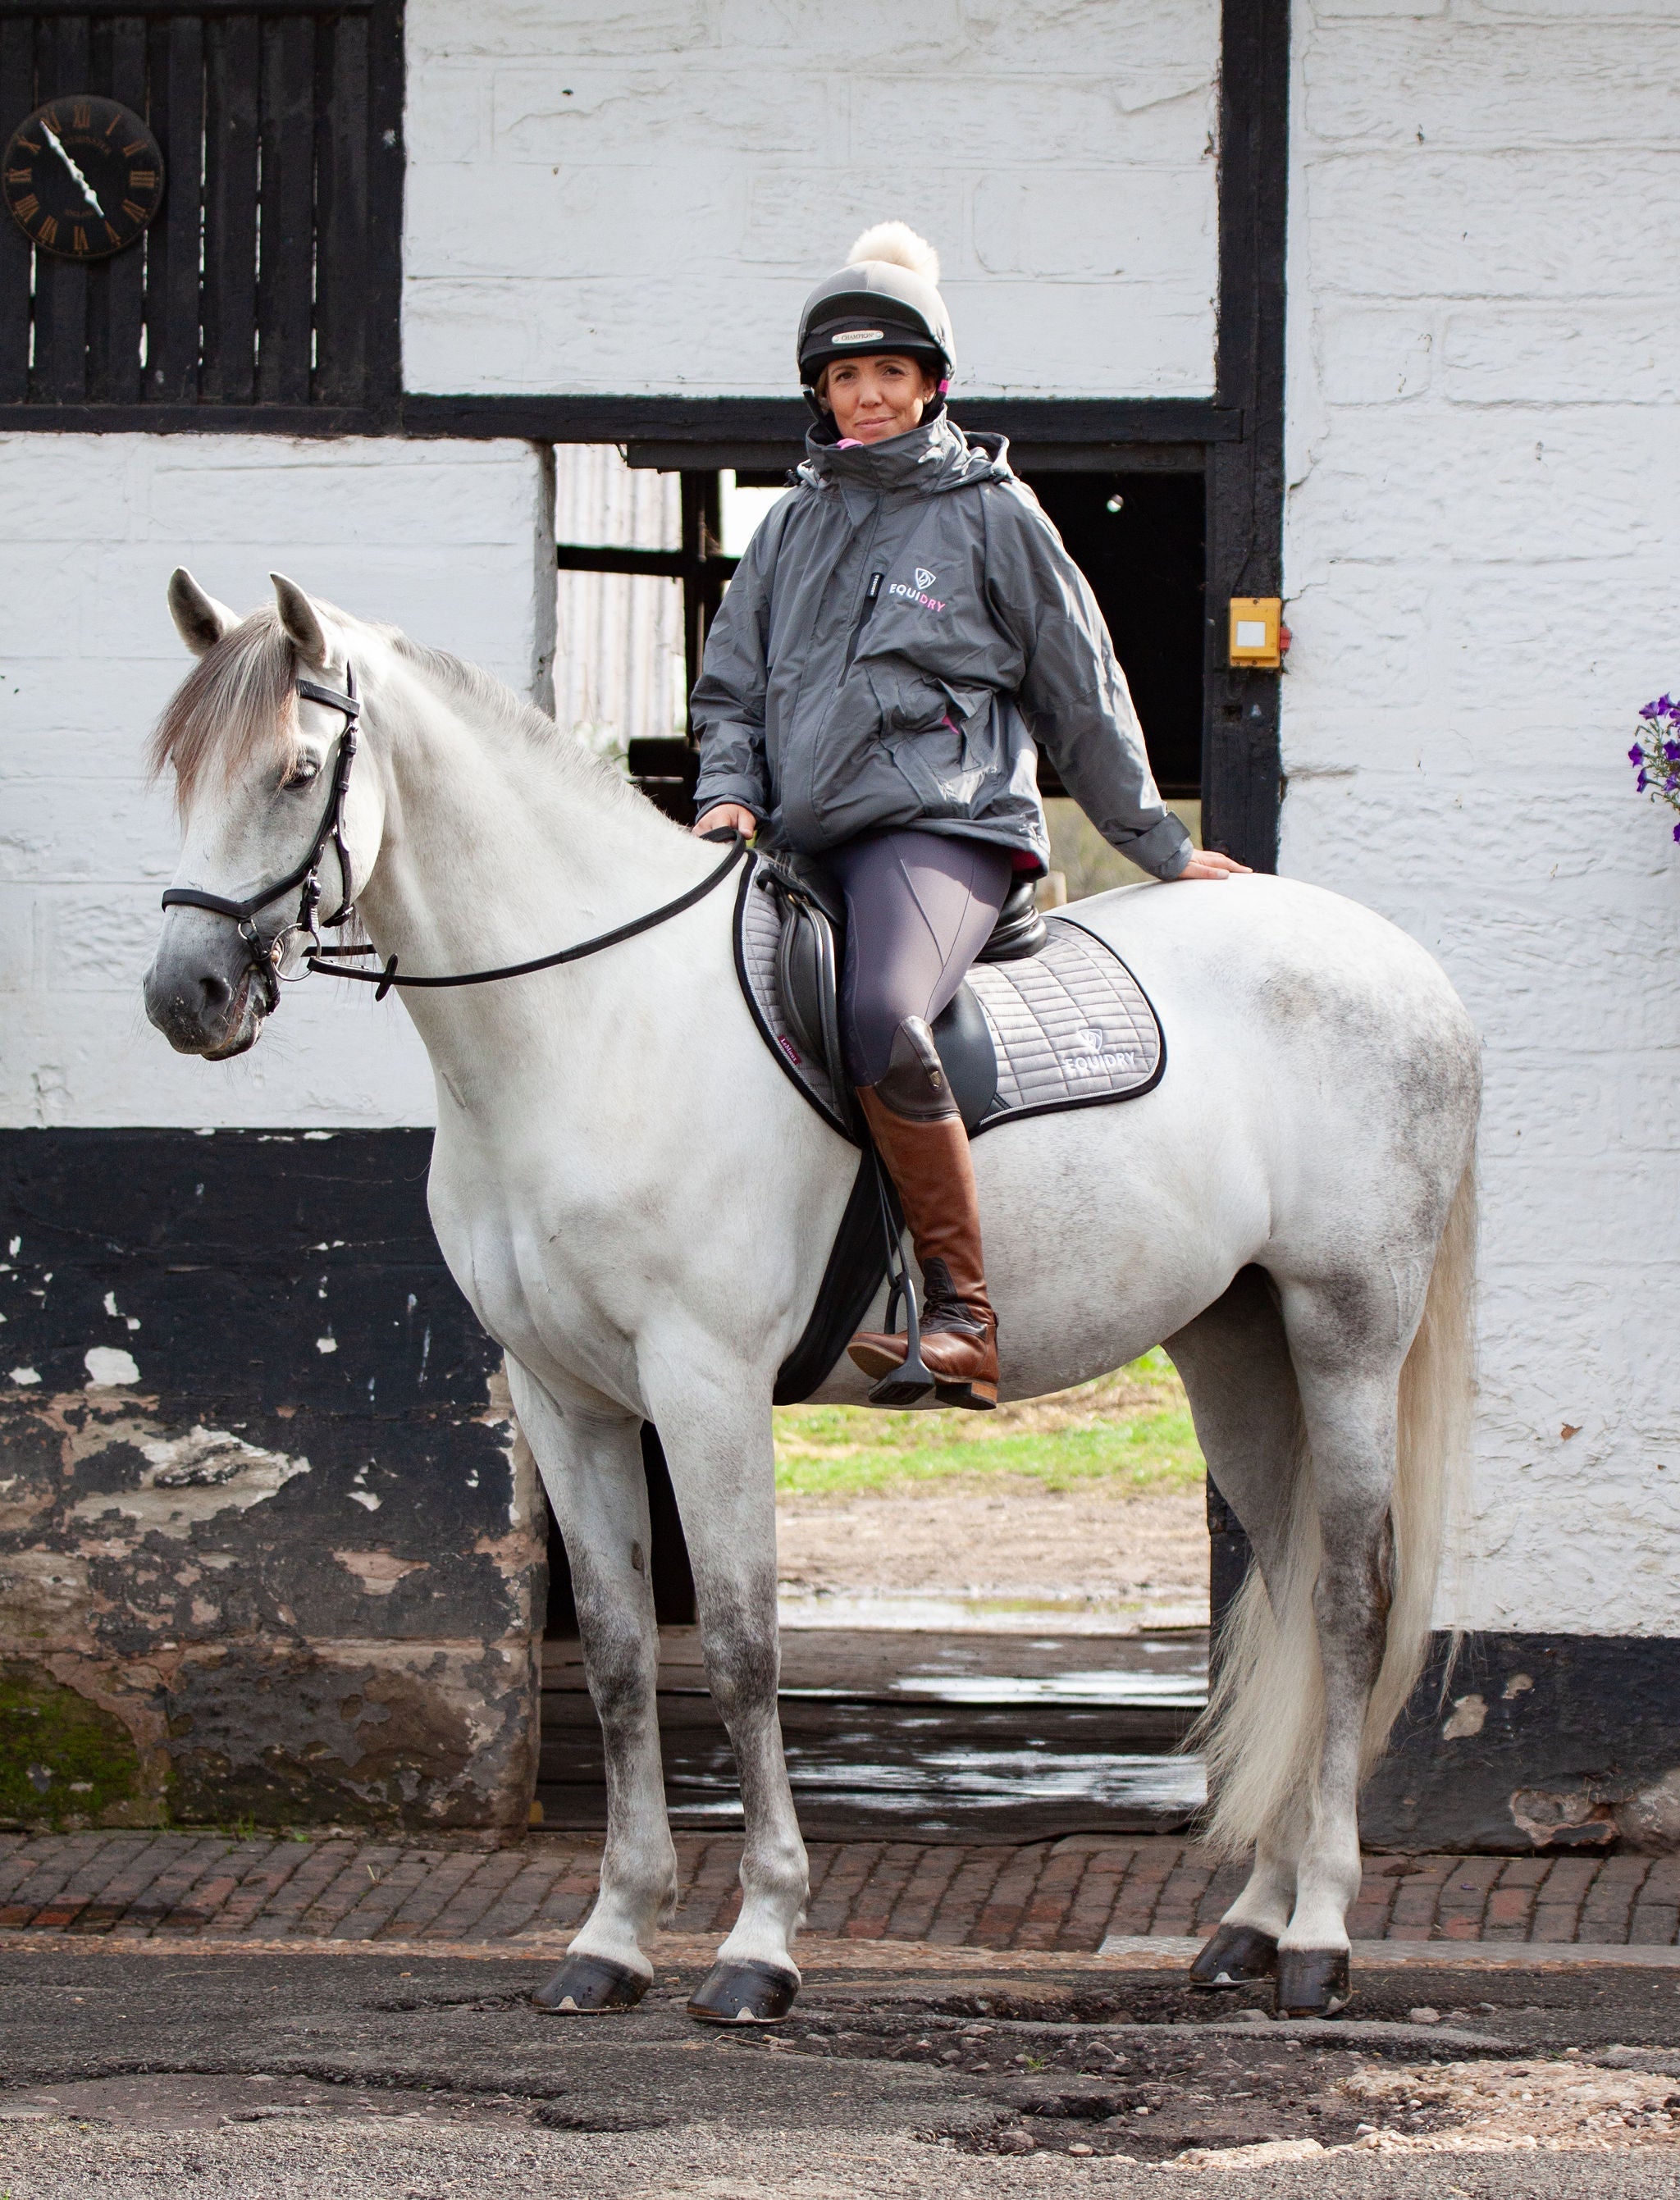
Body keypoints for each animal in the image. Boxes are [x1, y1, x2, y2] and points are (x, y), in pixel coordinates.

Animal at [142, 570, 1480, 2022]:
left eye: (296, 770)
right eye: (181, 773)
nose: (185, 996)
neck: (593, 1020)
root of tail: (1405, 965)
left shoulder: (704, 1383)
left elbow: (740, 1647)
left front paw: (759, 1941)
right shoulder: (562, 1397)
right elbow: (618, 1657)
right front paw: (612, 1936)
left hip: (1345, 1330)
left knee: (1347, 1595)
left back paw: (1321, 1933)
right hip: (1234, 1346)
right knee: (1291, 1596)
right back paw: (1250, 1922)